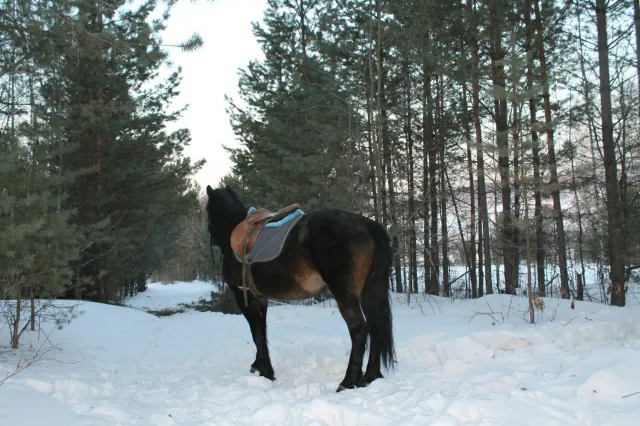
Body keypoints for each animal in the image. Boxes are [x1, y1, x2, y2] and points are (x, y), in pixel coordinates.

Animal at [205, 185, 395, 392]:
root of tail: (368, 225)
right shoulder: (261, 298)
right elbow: (262, 330)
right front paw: (259, 365)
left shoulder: (243, 297)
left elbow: (257, 334)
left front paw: (267, 373)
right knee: (375, 328)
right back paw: (370, 376)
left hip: (345, 295)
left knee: (359, 330)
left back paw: (347, 382)